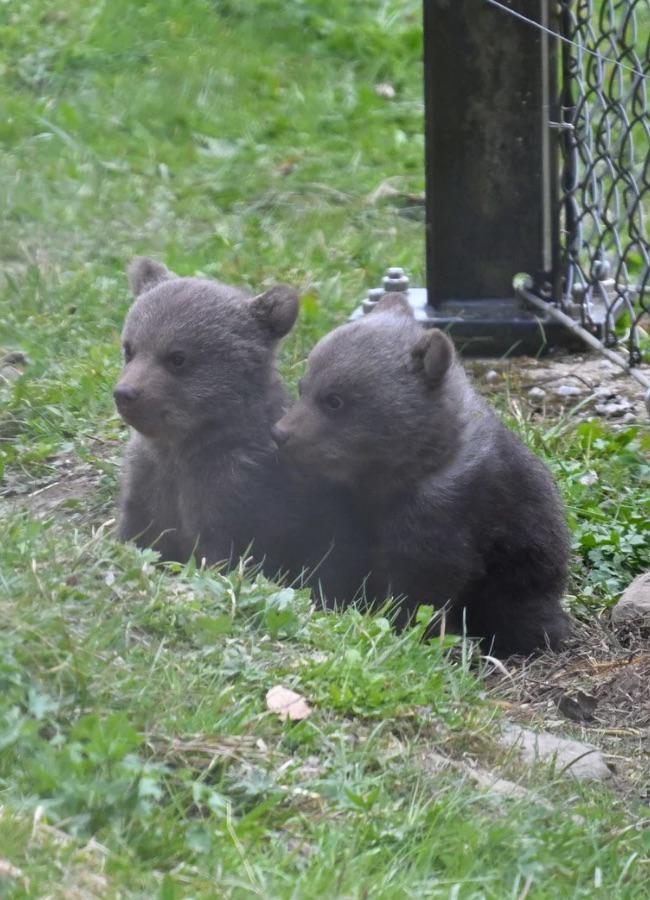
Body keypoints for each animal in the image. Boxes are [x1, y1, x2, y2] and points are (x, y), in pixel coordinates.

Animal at [115, 257, 371, 599]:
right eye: (129, 348)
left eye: (177, 357)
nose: (125, 393)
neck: (181, 452)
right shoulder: (147, 481)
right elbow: (136, 534)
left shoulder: (237, 498)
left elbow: (228, 555)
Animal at [271, 293, 572, 657]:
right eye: (303, 387)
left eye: (334, 400)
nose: (279, 433)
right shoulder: (345, 507)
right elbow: (334, 556)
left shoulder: (443, 510)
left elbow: (424, 581)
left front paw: (410, 628)